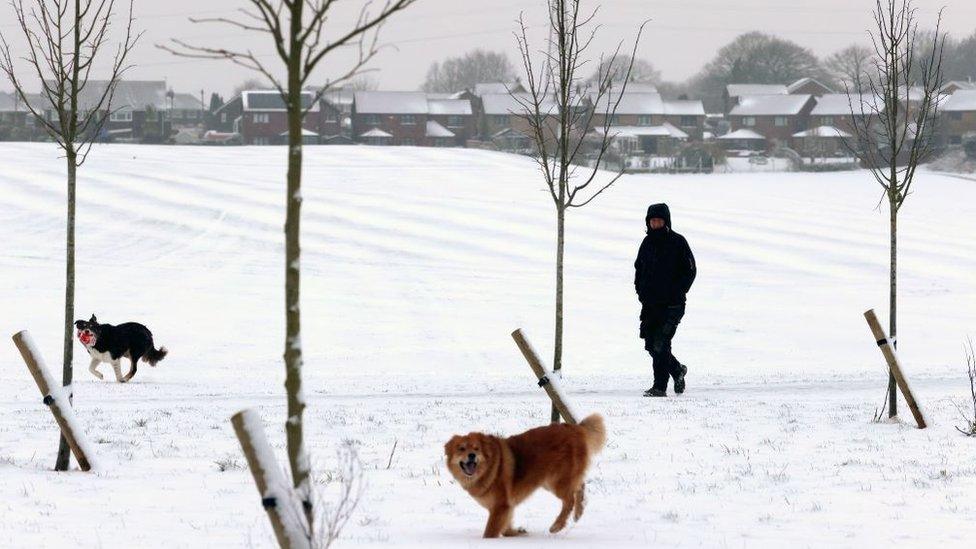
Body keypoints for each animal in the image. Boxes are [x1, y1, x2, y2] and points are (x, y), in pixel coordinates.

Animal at [446, 416, 608, 536]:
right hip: (550, 481)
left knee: (569, 500)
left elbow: (490, 532)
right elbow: (506, 527)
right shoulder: (506, 507)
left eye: (476, 449)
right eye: (461, 449)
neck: (490, 466)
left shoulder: (500, 505)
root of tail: (574, 427)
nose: (472, 455)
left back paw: (557, 525)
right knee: (580, 486)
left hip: (557, 481)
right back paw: (579, 512)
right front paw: (517, 532)